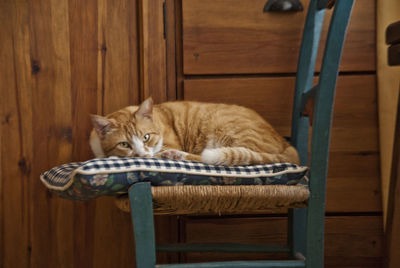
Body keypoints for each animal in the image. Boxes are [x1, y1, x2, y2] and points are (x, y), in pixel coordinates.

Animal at [89, 98, 298, 165]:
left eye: (146, 137)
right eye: (124, 144)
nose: (141, 154)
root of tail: (285, 142)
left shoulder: (165, 145)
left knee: (210, 158)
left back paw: (177, 155)